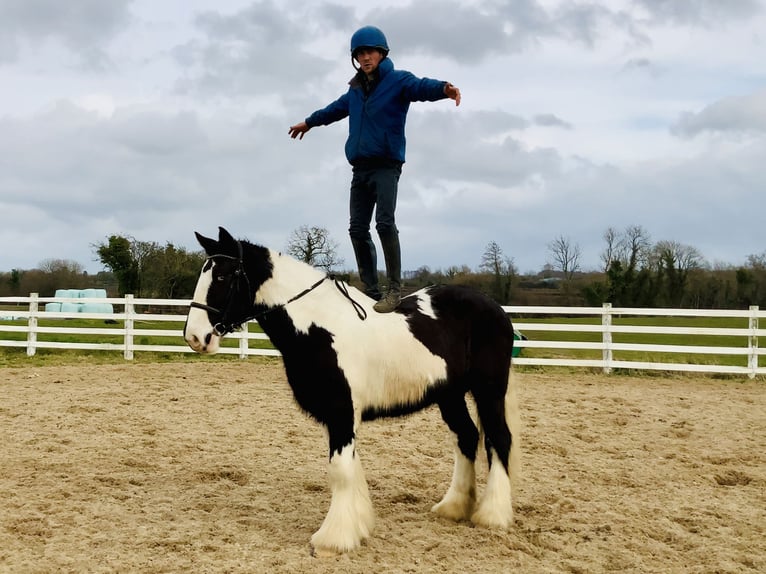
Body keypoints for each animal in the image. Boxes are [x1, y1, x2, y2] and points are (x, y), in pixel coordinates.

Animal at [186, 228, 520, 560]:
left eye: (222, 276)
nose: (195, 337)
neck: (319, 326)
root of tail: (495, 309)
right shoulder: (335, 416)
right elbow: (350, 470)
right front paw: (357, 526)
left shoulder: (341, 412)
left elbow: (340, 471)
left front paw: (332, 540)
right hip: (449, 395)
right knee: (467, 437)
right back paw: (453, 507)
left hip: (489, 390)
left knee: (498, 439)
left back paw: (492, 515)